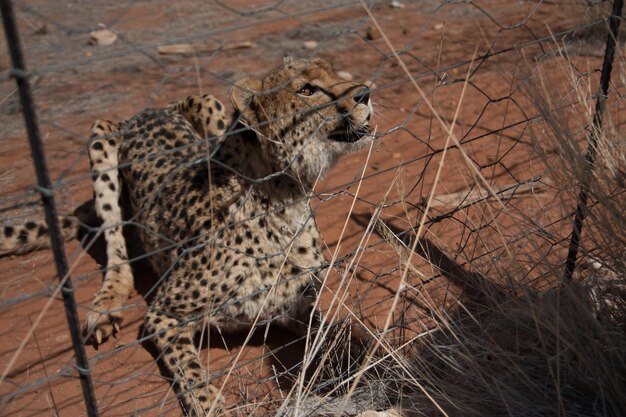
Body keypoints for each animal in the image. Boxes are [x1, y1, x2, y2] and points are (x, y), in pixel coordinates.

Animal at [1, 57, 370, 414]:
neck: (280, 197)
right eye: (307, 89)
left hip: (206, 102)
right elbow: (191, 373)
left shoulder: (297, 306)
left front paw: (364, 355)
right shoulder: (163, 314)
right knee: (115, 240)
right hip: (101, 137)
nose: (365, 92)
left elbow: (332, 330)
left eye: (333, 71)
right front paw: (212, 405)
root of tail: (147, 111)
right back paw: (106, 304)